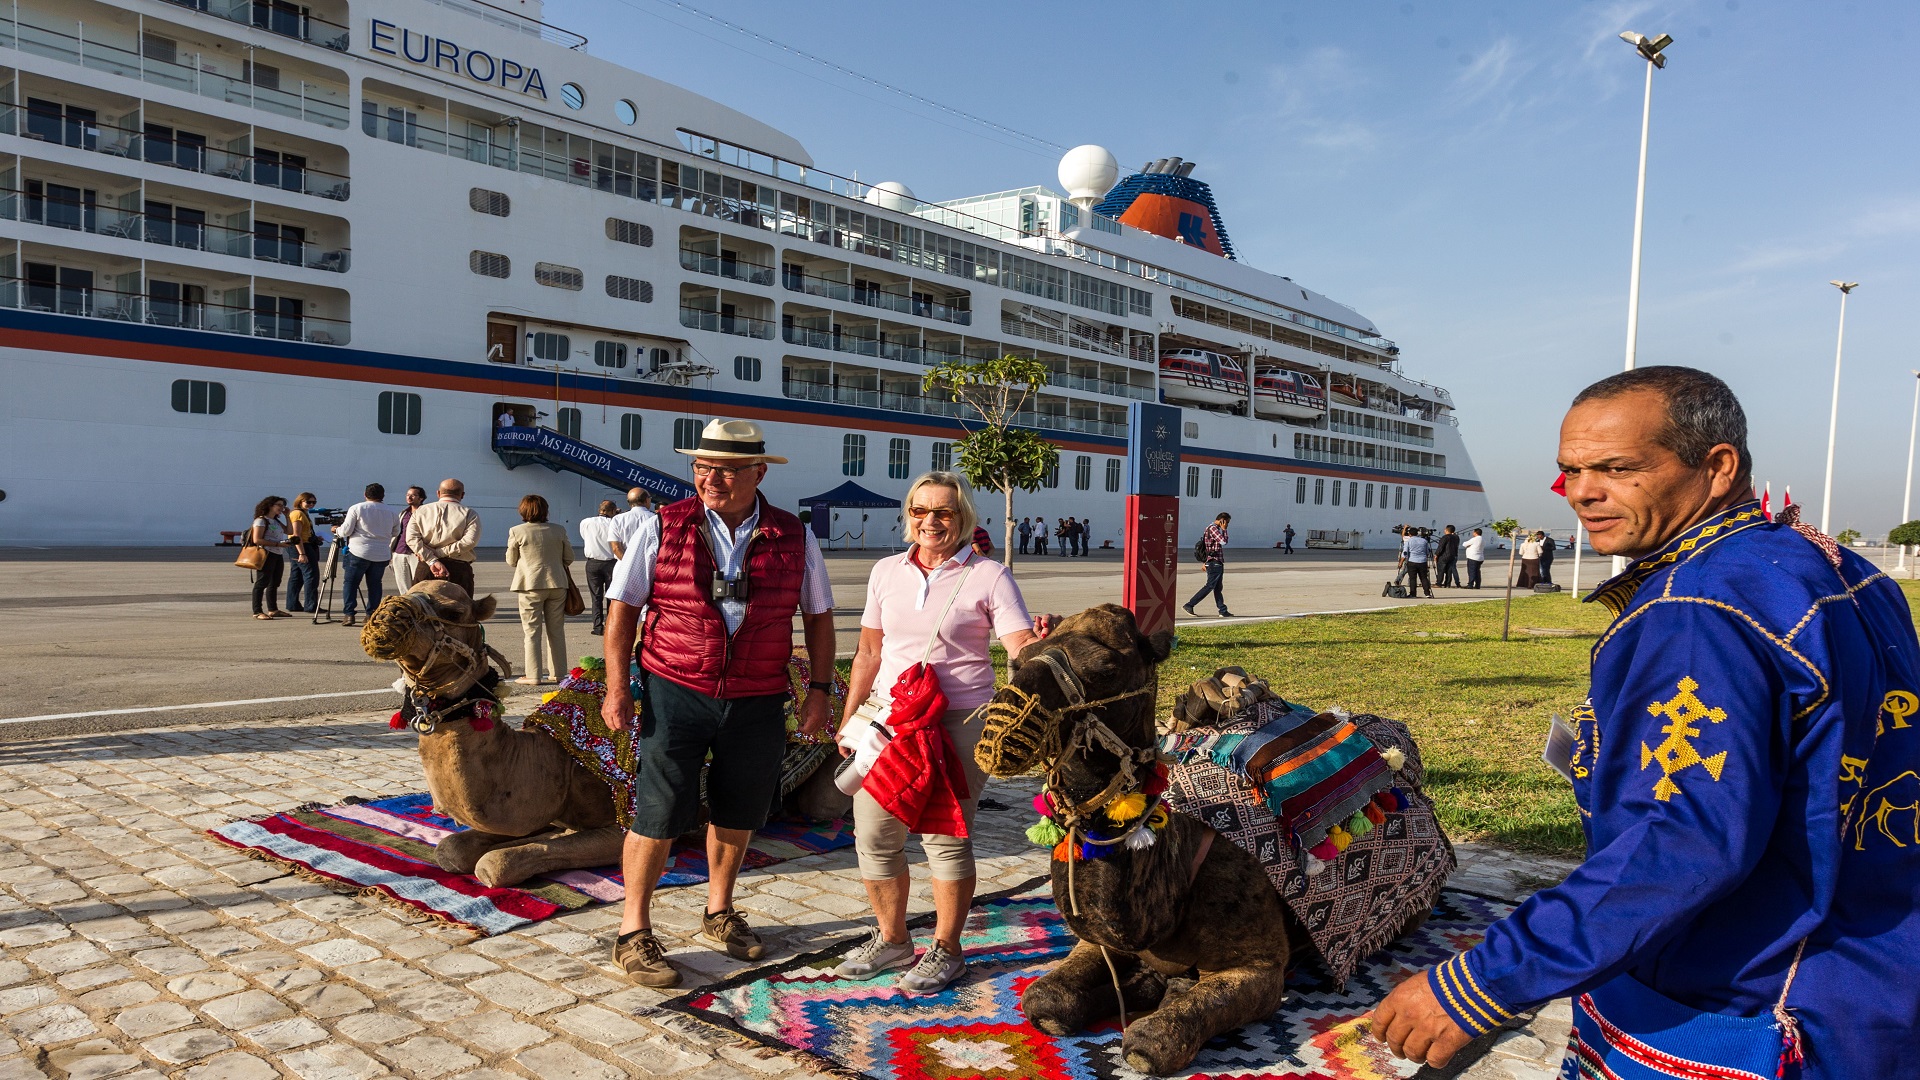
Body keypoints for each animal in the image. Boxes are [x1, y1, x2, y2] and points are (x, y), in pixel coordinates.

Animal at [975, 599, 1305, 1068]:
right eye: (1019, 659)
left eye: (1106, 667)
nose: (1001, 735)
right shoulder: (1101, 941)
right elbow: (1044, 999)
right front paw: (1138, 988)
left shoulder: (1261, 965)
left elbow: (1154, 1045)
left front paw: (1159, 1011)